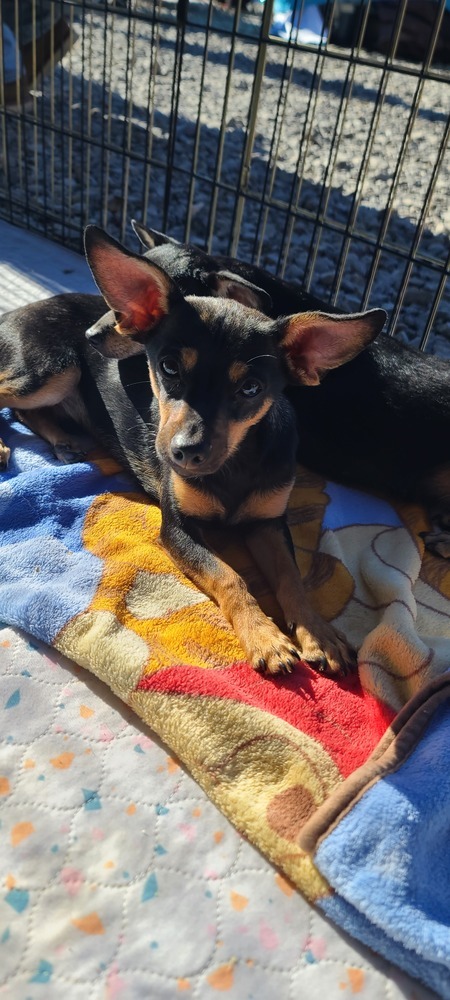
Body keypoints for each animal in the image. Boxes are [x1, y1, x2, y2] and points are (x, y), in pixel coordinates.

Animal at [0, 228, 386, 680]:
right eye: (168, 367)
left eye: (251, 389)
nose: (184, 454)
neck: (235, 461)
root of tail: (24, 307)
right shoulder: (178, 529)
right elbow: (231, 576)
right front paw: (265, 637)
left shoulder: (269, 524)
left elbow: (293, 578)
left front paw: (318, 633)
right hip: (52, 370)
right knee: (10, 395)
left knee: (26, 410)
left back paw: (63, 440)